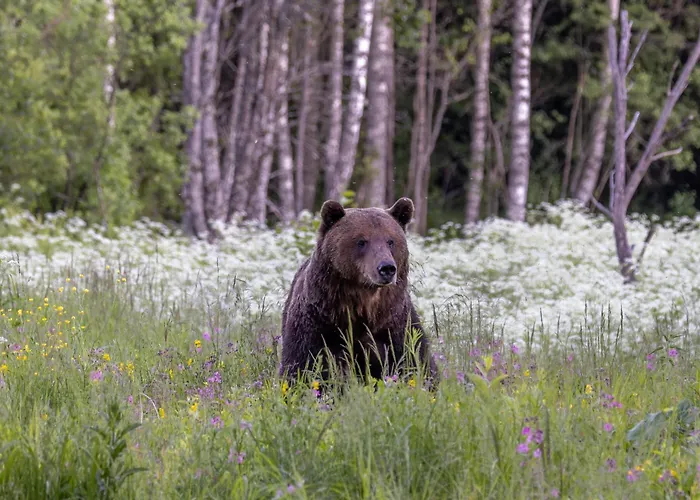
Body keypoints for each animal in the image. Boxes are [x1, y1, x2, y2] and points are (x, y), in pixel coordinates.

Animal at [278, 197, 439, 390]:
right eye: (362, 241)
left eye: (390, 241)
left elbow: (415, 359)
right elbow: (303, 364)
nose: (386, 268)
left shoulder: (396, 322)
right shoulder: (317, 322)